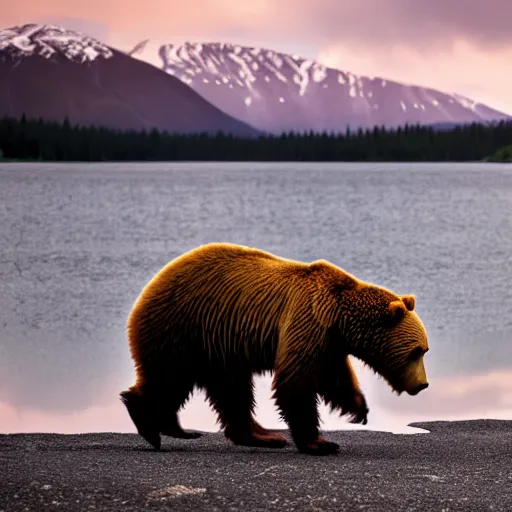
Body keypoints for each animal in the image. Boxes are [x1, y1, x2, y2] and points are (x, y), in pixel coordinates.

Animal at [120, 242, 428, 454]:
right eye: (416, 351)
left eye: (425, 350)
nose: (423, 384)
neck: (340, 318)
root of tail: (151, 284)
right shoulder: (307, 320)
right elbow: (297, 383)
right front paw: (320, 443)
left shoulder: (328, 343)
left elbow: (334, 378)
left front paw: (358, 409)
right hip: (183, 326)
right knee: (170, 377)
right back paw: (152, 425)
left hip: (217, 347)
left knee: (230, 390)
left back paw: (256, 435)